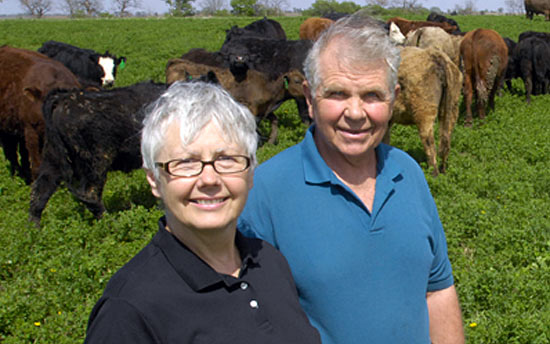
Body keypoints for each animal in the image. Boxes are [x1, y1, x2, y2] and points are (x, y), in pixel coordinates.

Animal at [29, 80, 167, 226]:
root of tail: (63, 99)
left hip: (53, 159)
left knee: (39, 192)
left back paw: (34, 228)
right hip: (97, 160)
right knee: (90, 193)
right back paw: (110, 222)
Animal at [388, 46, 466, 175]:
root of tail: (437, 57)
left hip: (424, 110)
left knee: (429, 142)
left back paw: (434, 173)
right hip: (452, 107)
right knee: (446, 139)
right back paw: (443, 170)